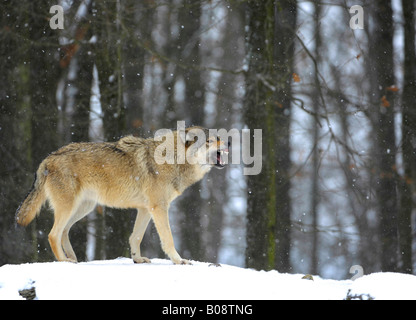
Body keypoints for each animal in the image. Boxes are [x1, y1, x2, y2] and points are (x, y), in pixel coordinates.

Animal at [16, 126, 229, 264]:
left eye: (220, 137)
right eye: (210, 141)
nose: (228, 142)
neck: (174, 159)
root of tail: (47, 158)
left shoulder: (145, 209)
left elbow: (135, 236)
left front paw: (137, 259)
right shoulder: (159, 207)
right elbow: (168, 239)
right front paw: (179, 260)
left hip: (83, 208)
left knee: (64, 232)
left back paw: (73, 259)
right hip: (69, 207)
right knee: (53, 234)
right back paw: (64, 261)